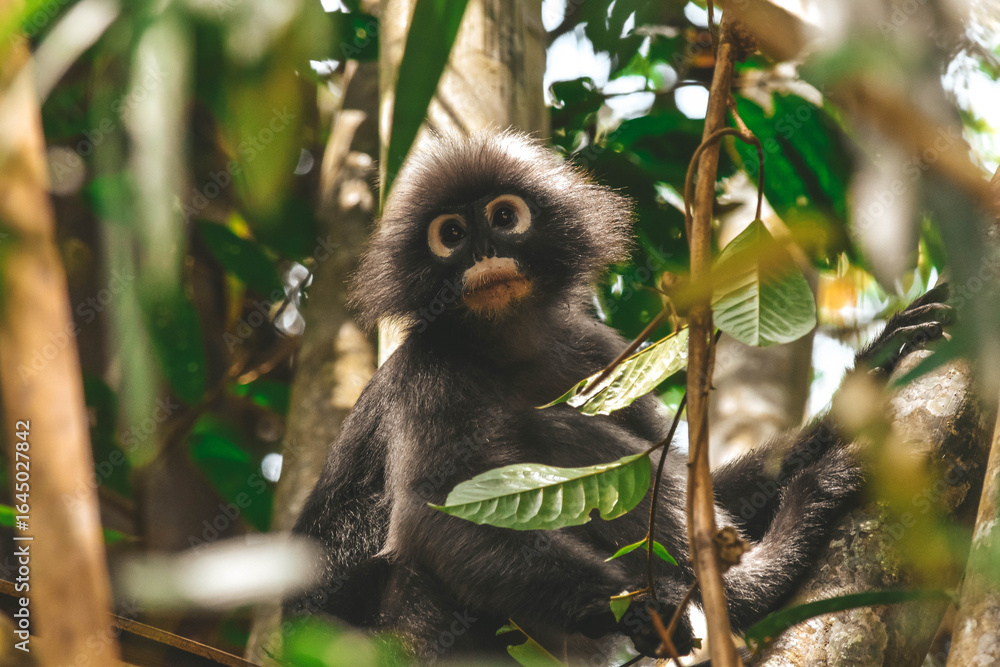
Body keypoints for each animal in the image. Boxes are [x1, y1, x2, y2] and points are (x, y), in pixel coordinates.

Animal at [285, 130, 952, 663]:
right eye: (450, 234)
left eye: (502, 218)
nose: (483, 253)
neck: (506, 348)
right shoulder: (429, 369)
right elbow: (434, 519)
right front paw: (650, 611)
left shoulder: (590, 349)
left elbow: (700, 480)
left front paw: (866, 381)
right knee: (542, 435)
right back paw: (760, 569)